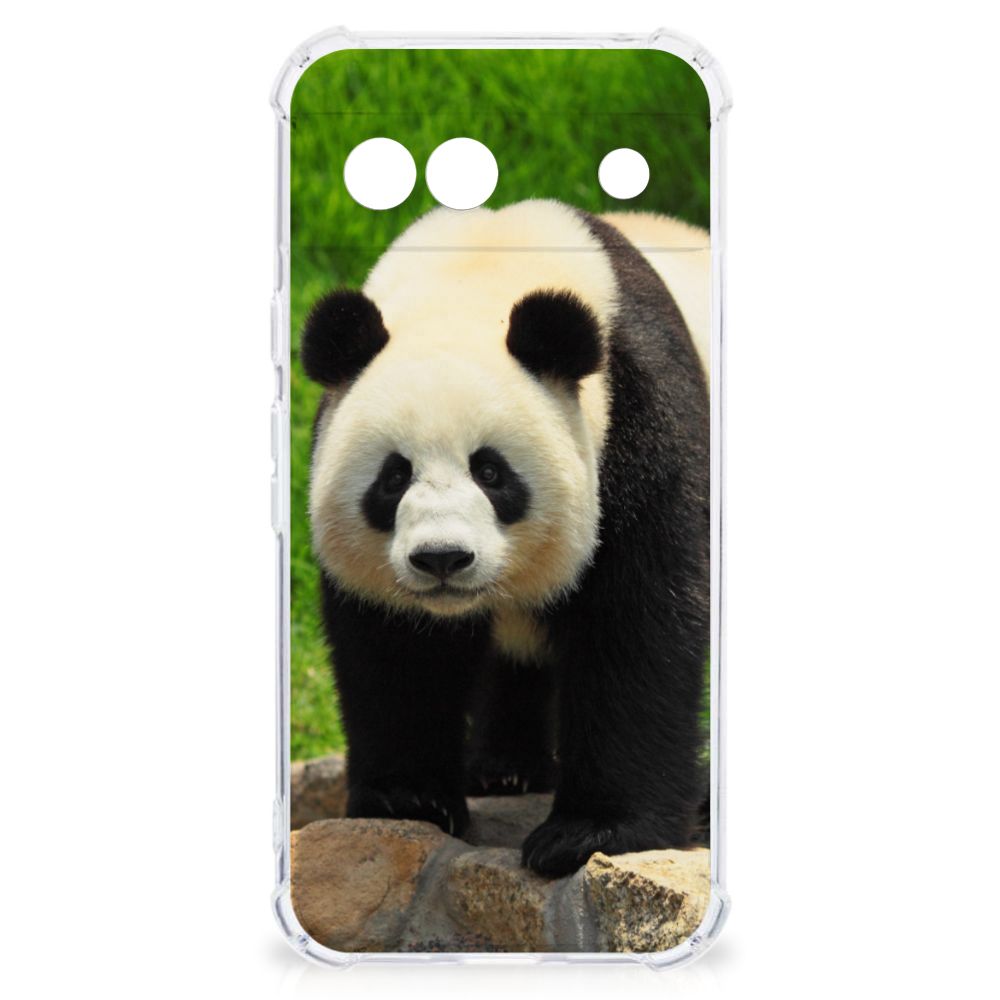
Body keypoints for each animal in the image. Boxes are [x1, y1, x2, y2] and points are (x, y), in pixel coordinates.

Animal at [301, 199, 710, 877]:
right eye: (393, 477)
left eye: (491, 472)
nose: (442, 558)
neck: (478, 269)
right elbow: (396, 649)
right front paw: (408, 800)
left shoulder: (641, 421)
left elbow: (638, 623)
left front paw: (590, 833)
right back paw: (504, 769)